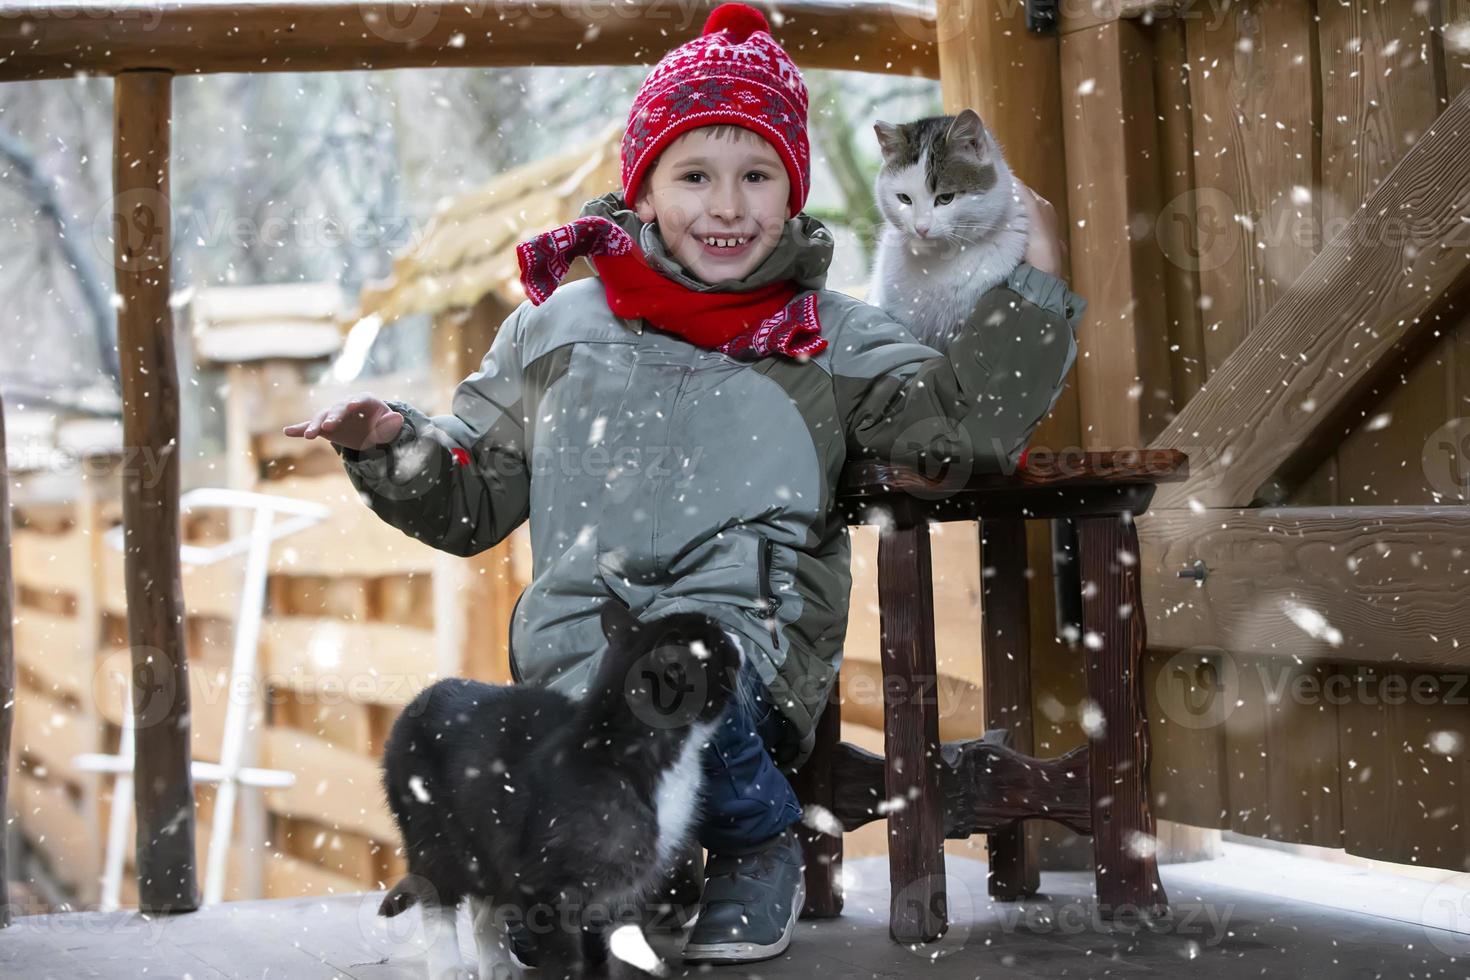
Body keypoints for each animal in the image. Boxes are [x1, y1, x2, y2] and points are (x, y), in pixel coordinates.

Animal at [379, 602, 746, 975]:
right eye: (718, 640)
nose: (737, 636)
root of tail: (423, 697)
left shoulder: (627, 889)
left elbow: (626, 950)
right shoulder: (542, 886)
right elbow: (563, 959)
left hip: (481, 840)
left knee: (483, 899)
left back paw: (497, 965)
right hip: (432, 834)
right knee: (436, 896)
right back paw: (449, 967)